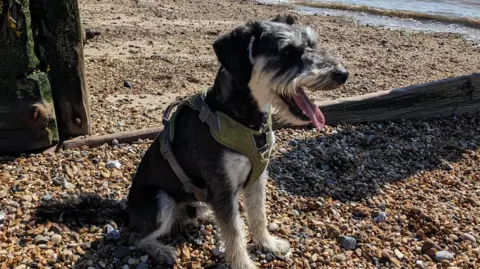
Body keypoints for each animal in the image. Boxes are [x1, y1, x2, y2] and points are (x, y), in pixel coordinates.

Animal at [34, 14, 348, 268]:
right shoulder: (223, 185)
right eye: (287, 52)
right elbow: (234, 233)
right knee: (135, 237)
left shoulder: (257, 178)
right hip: (160, 200)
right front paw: (244, 263)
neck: (241, 117)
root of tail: (127, 209)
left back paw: (203, 214)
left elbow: (258, 216)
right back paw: (161, 250)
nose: (342, 74)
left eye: (313, 44)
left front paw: (268, 244)